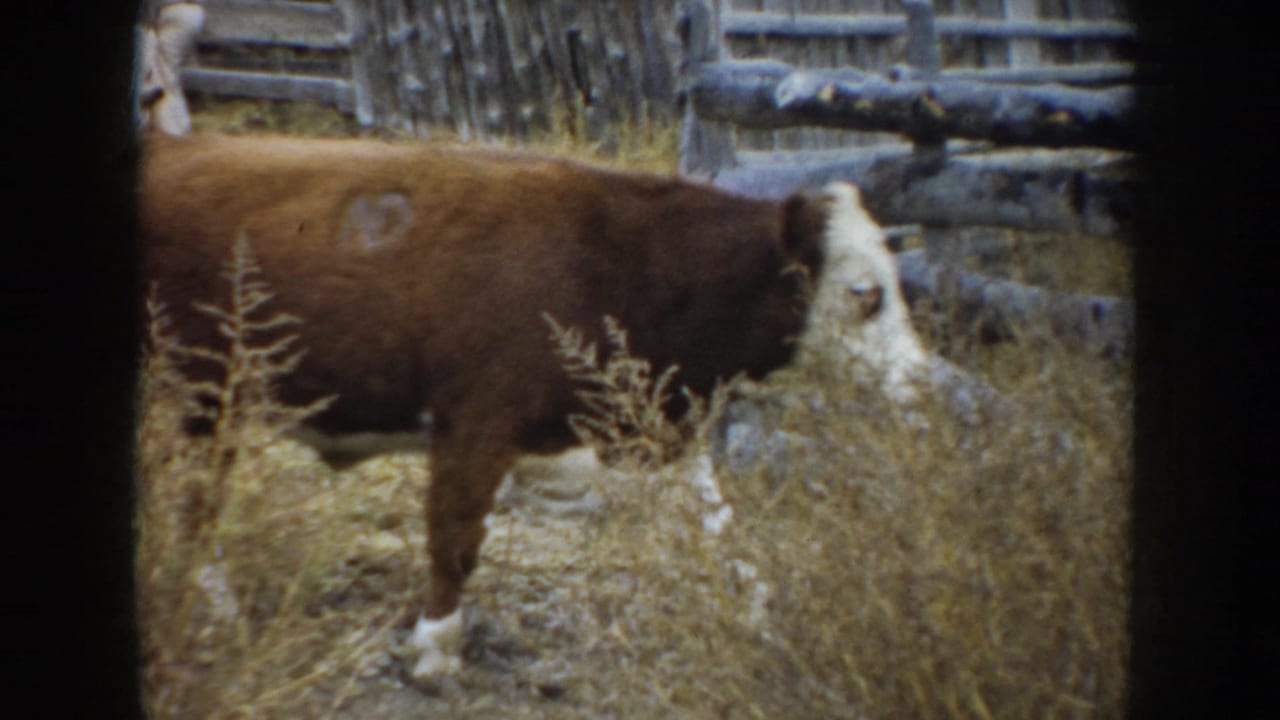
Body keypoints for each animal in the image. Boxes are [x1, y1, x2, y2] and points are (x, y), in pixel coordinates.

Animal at [139, 131, 929, 681]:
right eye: (865, 293)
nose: (923, 383)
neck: (622, 261)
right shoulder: (474, 426)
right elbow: (455, 541)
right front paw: (435, 650)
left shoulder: (660, 429)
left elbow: (720, 529)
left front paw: (762, 615)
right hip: (203, 397)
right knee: (196, 508)